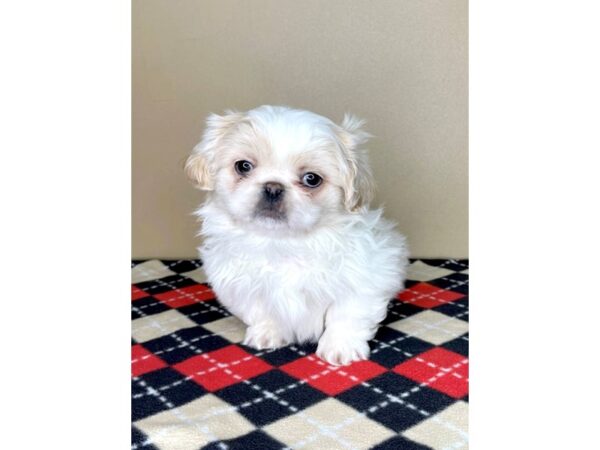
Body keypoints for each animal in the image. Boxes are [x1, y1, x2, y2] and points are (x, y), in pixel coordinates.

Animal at [185, 105, 410, 366]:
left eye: (311, 179)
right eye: (243, 166)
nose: (273, 187)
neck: (283, 243)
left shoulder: (365, 278)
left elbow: (346, 314)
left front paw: (340, 347)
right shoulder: (241, 284)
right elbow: (260, 310)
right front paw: (267, 333)